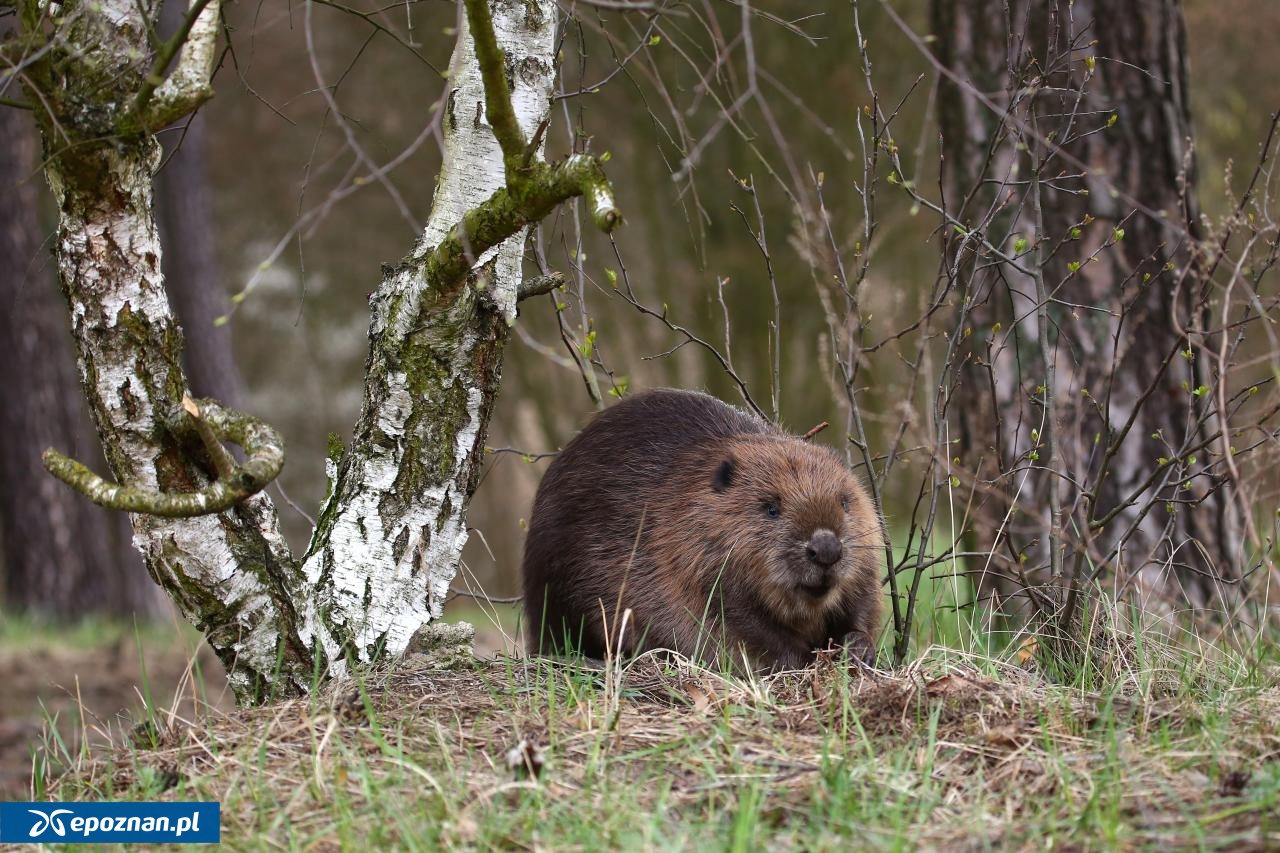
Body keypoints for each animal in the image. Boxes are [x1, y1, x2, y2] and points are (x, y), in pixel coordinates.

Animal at [514, 386, 885, 671]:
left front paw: (857, 647)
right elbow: (740, 624)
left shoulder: (864, 563)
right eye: (771, 508)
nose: (826, 548)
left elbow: (863, 600)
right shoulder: (686, 567)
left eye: (845, 502)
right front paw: (807, 659)